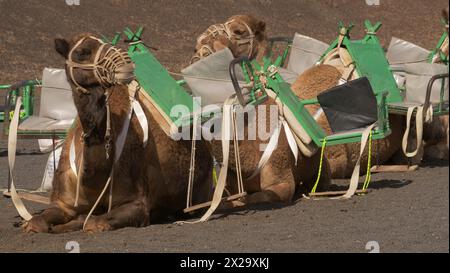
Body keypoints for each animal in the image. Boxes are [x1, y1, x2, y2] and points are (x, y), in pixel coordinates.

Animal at [23, 33, 214, 231]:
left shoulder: (136, 203)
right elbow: (36, 222)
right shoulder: (62, 202)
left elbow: (93, 222)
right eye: (82, 52)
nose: (125, 64)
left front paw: (77, 222)